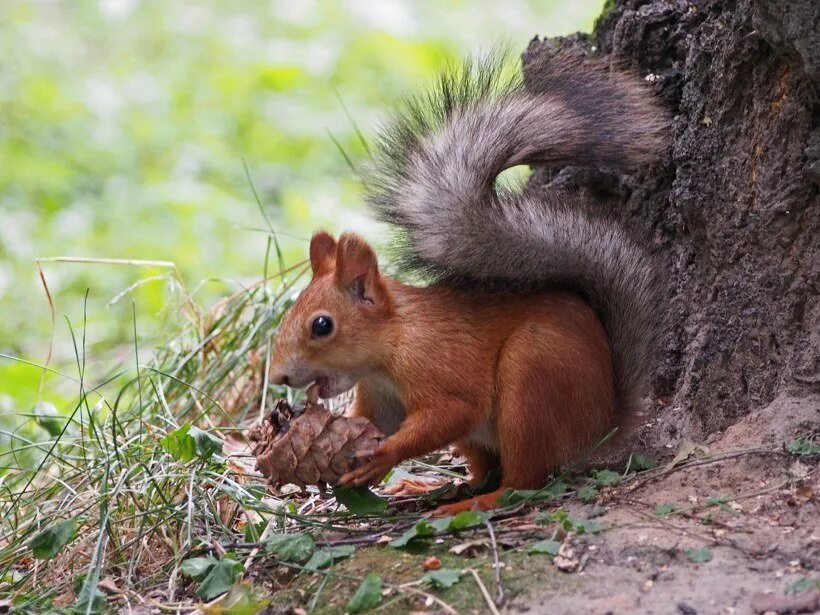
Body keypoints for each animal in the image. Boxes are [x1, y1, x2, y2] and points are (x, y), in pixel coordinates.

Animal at [270, 49, 668, 516]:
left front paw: (383, 455)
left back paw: (474, 502)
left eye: (322, 325)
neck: (393, 343)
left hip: (532, 379)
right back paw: (433, 488)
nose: (278, 377)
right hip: (485, 435)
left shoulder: (440, 366)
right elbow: (371, 422)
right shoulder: (382, 397)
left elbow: (453, 411)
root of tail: (602, 427)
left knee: (521, 482)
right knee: (485, 469)